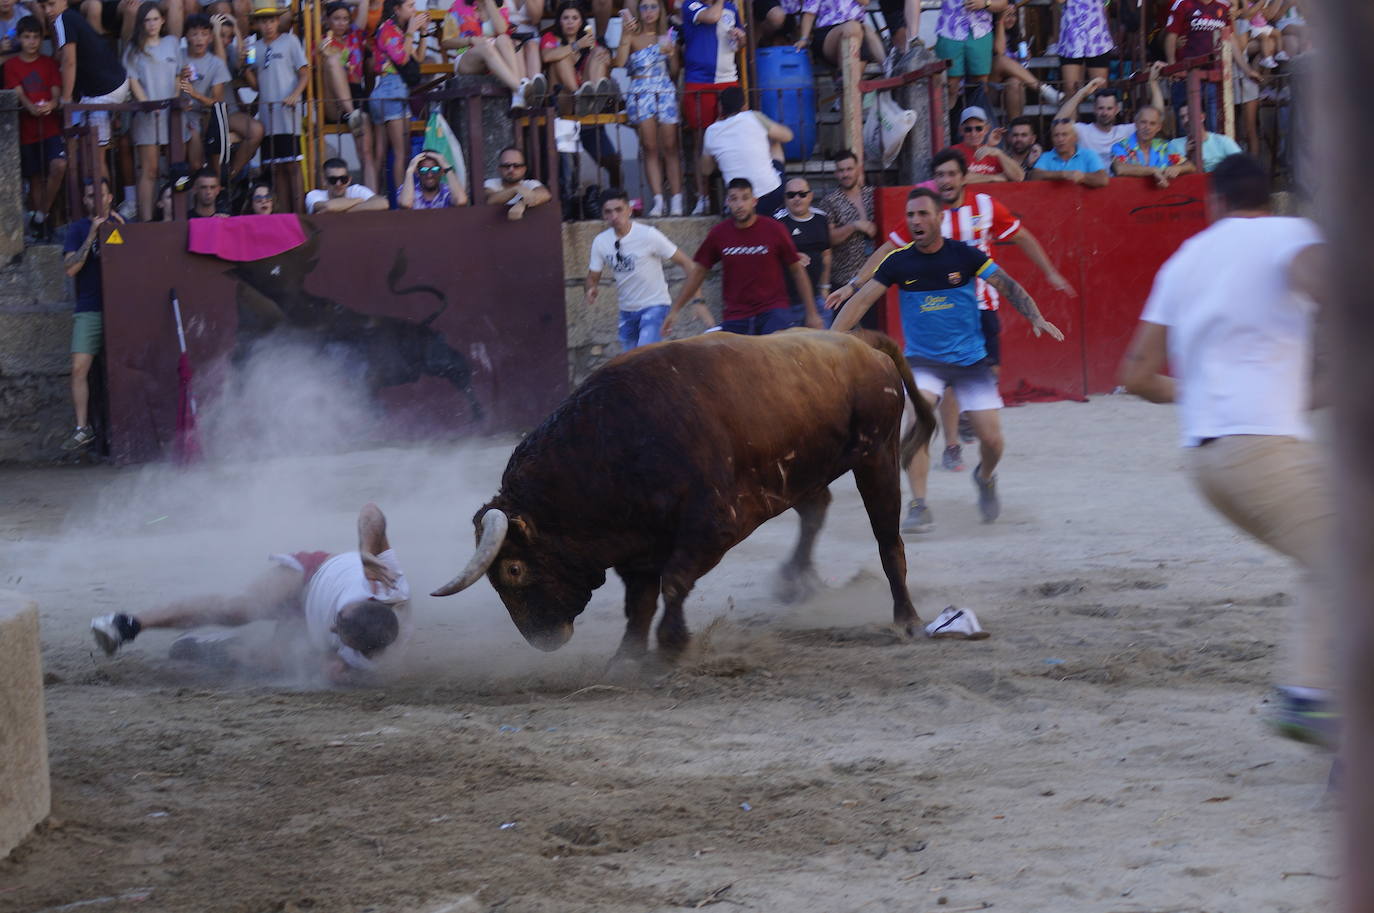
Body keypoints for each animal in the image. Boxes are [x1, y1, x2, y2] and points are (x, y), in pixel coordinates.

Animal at [434, 331, 939, 660]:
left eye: (513, 569)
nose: (542, 639)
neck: (611, 447)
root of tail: (860, 343)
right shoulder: (636, 548)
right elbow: (638, 602)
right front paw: (627, 658)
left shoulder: (711, 529)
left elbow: (674, 583)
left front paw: (672, 645)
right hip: (811, 469)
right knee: (816, 512)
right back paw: (795, 580)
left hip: (878, 454)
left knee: (888, 541)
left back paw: (908, 620)